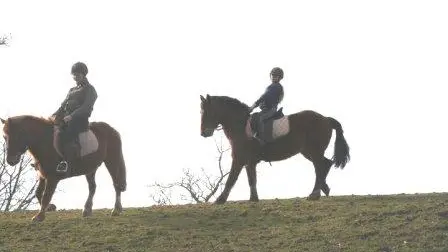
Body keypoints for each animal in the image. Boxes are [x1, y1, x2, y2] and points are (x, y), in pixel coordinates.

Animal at [200, 95, 350, 205]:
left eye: (206, 111)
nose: (203, 133)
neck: (241, 126)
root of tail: (326, 119)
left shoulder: (238, 159)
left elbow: (231, 179)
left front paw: (220, 200)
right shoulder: (250, 161)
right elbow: (252, 179)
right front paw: (253, 199)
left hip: (313, 151)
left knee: (320, 167)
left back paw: (314, 194)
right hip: (309, 152)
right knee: (325, 165)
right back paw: (323, 189)